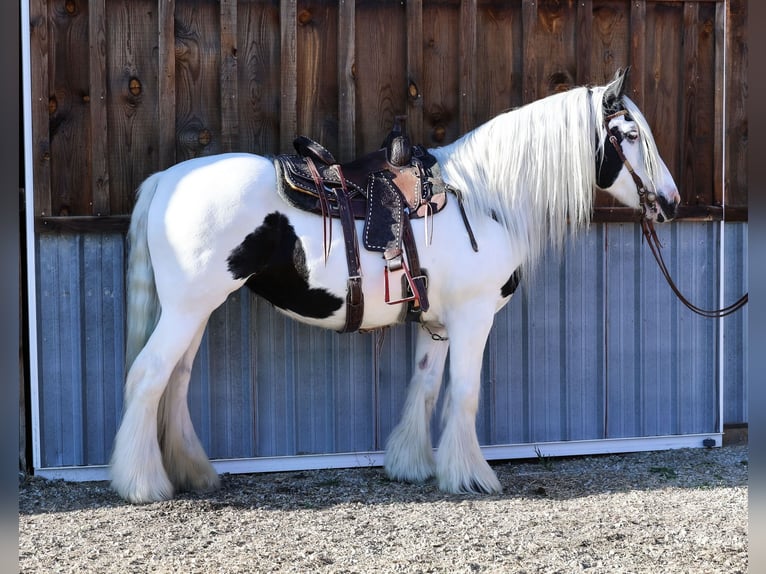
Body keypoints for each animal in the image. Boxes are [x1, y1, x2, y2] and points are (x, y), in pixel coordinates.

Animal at [111, 70, 680, 506]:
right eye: (629, 134)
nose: (671, 202)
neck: (484, 197)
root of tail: (167, 179)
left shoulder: (437, 324)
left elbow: (425, 386)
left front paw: (413, 465)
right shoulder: (473, 318)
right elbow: (463, 392)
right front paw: (471, 475)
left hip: (196, 311)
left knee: (176, 383)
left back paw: (191, 472)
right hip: (186, 310)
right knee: (147, 377)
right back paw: (141, 484)